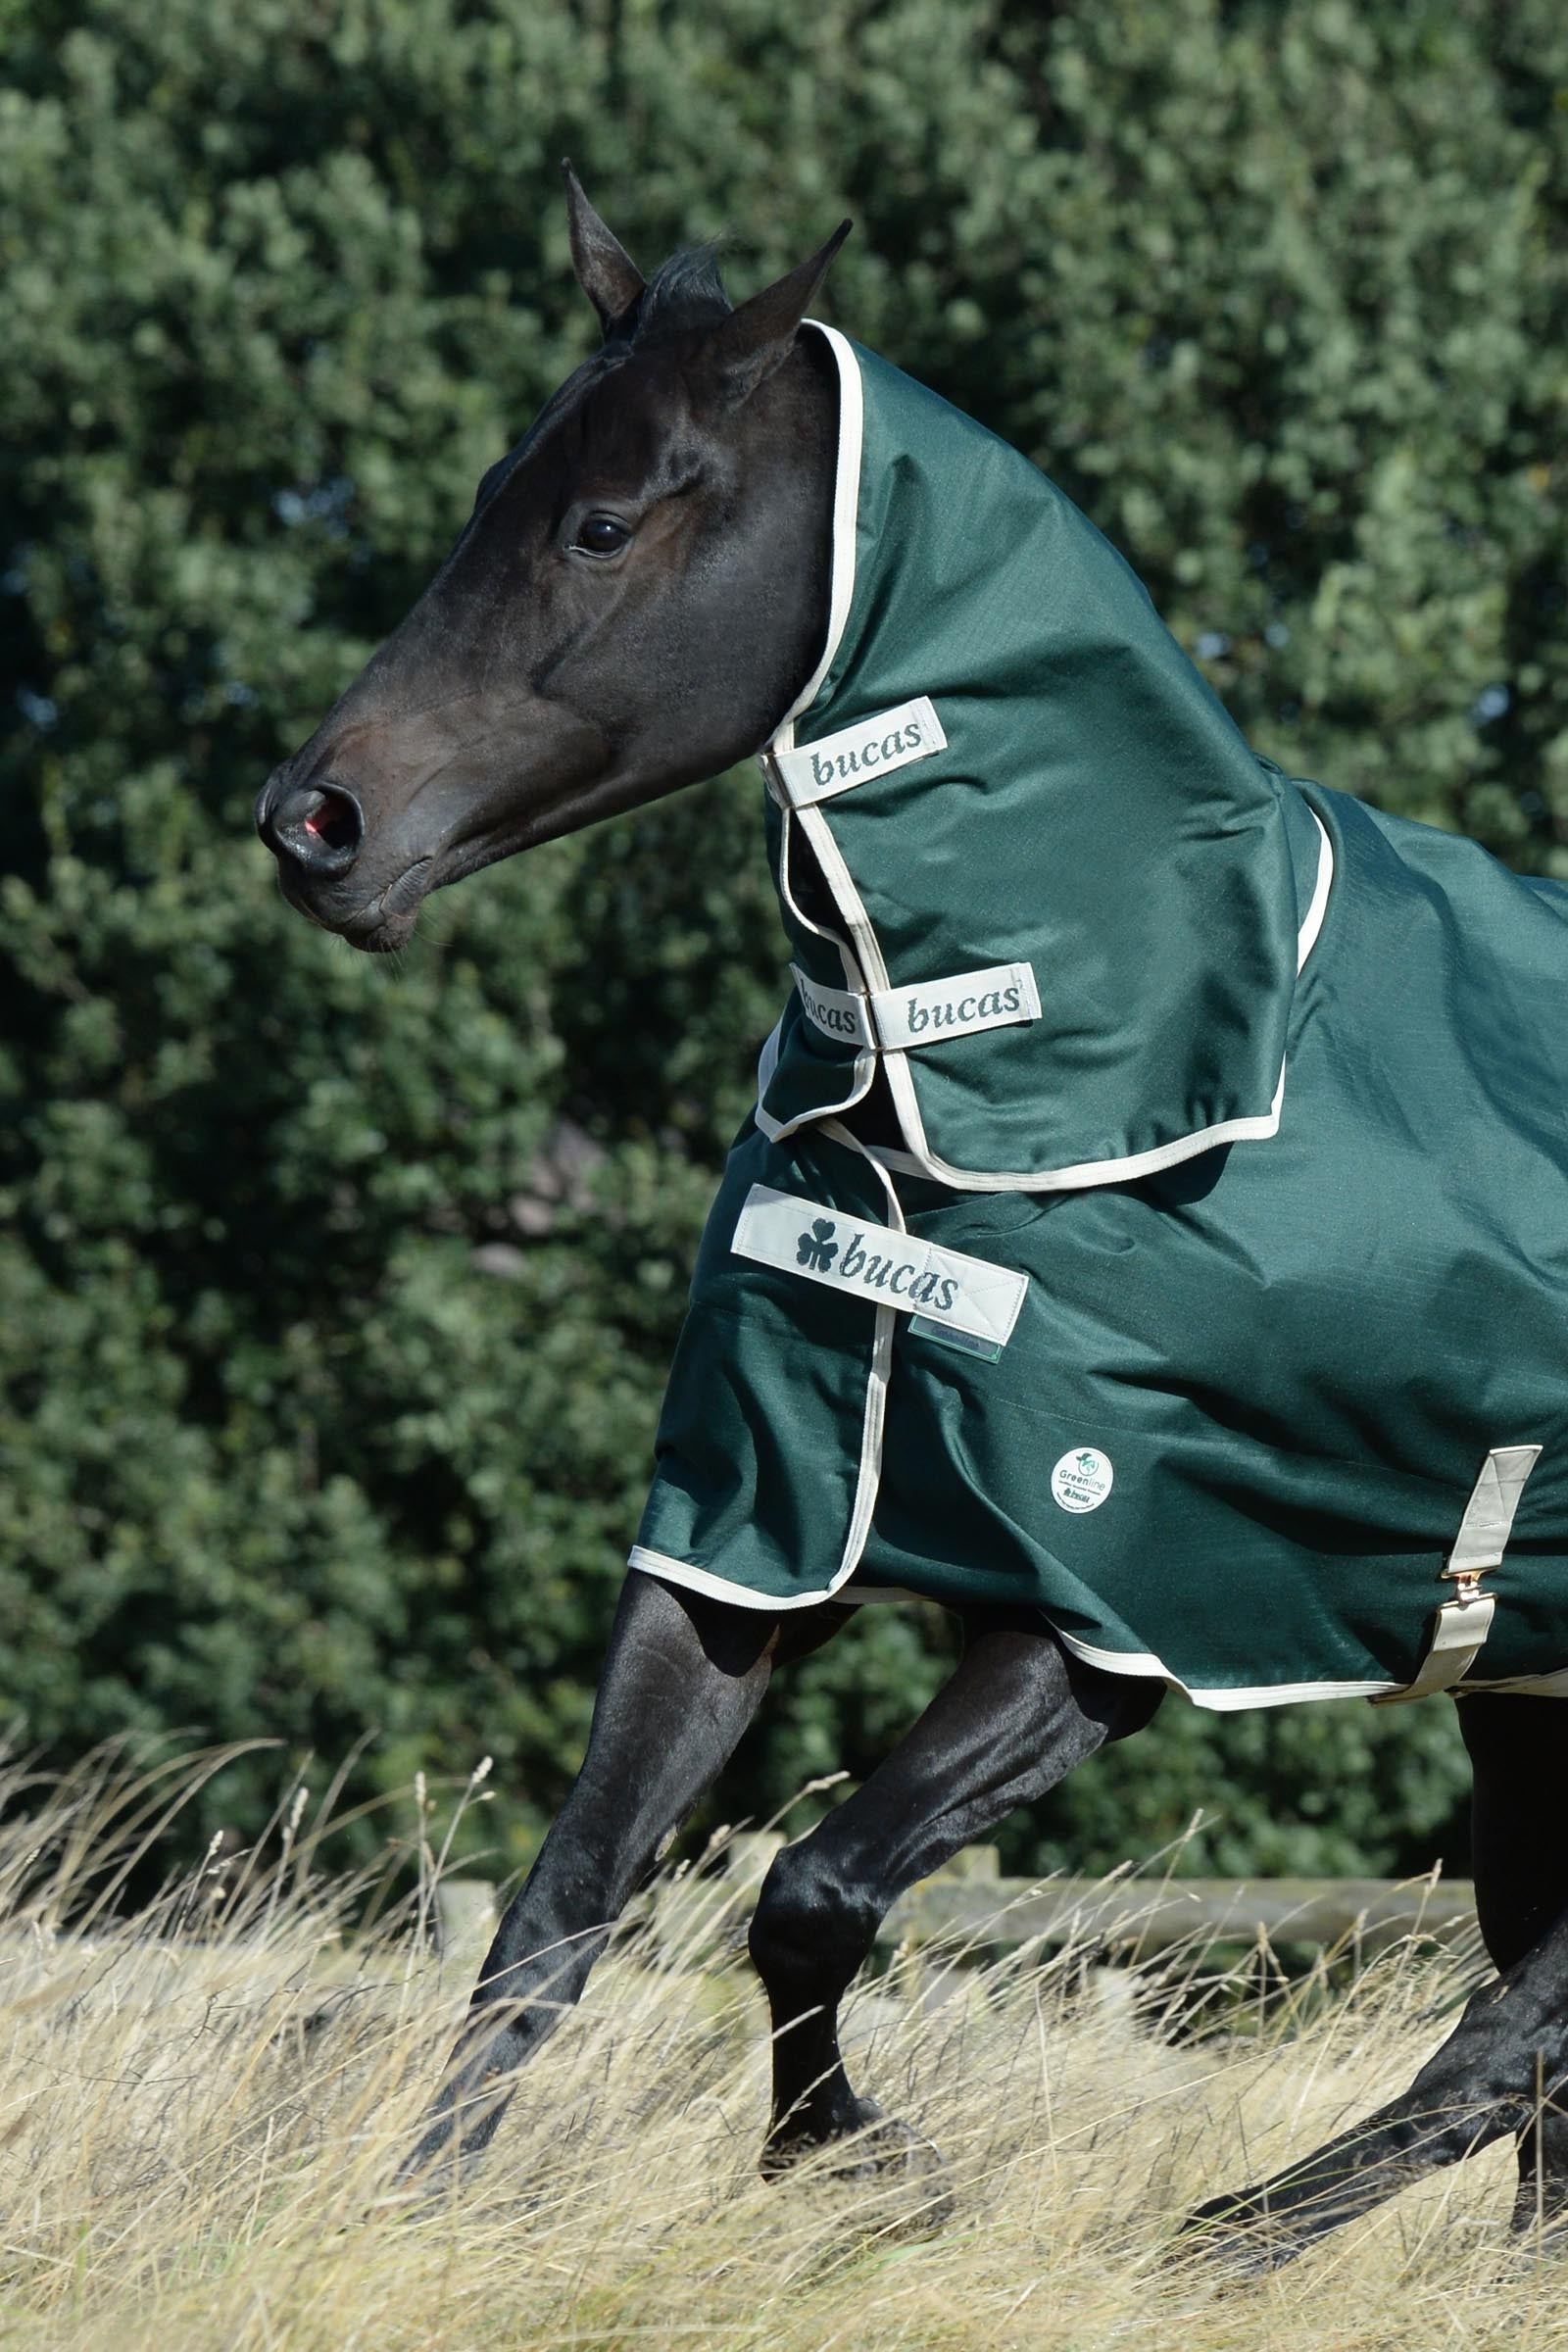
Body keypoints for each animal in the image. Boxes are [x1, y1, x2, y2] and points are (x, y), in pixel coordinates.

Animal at [256, 168, 1568, 2269]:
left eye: (603, 519)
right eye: (489, 487)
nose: (315, 824)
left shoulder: (1110, 1606)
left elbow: (807, 1891)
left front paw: (864, 2165)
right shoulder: (742, 1539)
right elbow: (561, 1905)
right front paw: (424, 2211)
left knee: (1513, 2037)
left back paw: (1218, 2238)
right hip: (1521, 1700)